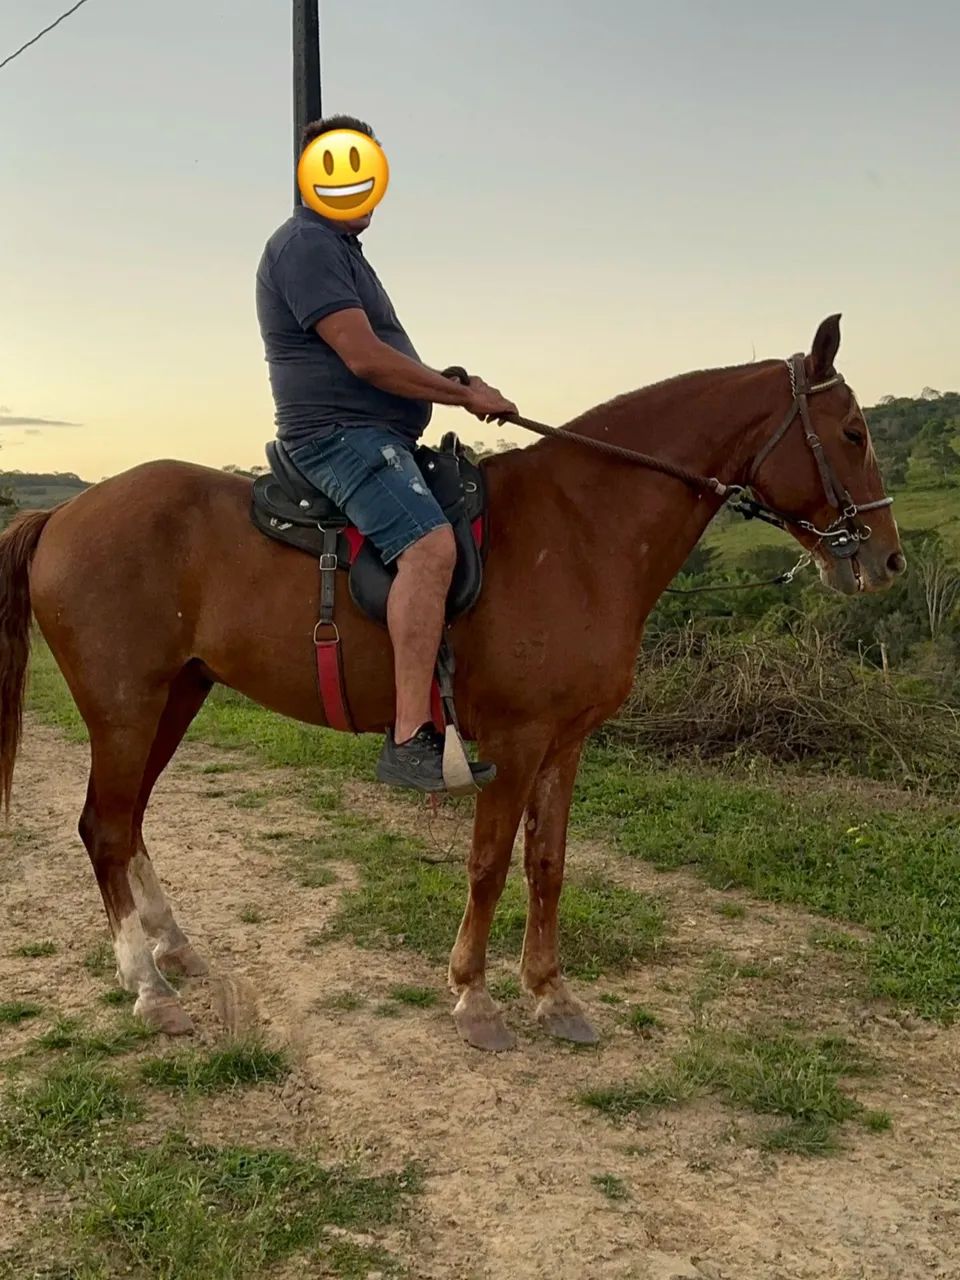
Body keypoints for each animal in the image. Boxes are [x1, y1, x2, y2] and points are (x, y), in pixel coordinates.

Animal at [0, 315, 903, 1051]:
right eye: (853, 432)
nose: (888, 560)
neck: (582, 530)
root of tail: (66, 514)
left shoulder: (566, 744)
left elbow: (548, 865)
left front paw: (552, 995)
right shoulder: (514, 741)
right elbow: (490, 865)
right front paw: (475, 998)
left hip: (176, 697)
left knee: (130, 822)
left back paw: (172, 946)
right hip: (125, 707)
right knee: (104, 828)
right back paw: (148, 988)